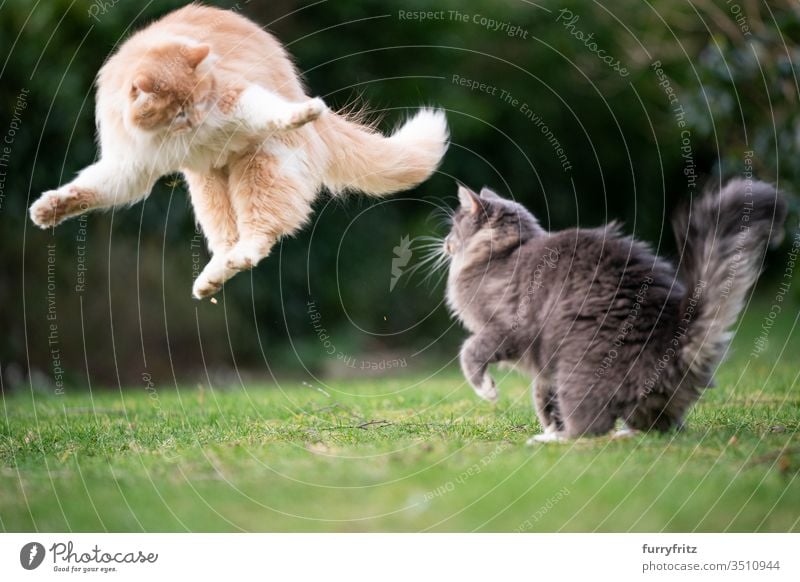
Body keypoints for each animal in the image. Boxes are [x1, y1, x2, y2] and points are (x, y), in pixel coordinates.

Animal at [29, 5, 450, 302]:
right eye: (179, 111)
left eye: (200, 102)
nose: (196, 120)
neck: (171, 135)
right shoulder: (129, 166)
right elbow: (90, 189)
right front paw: (49, 209)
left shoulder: (237, 100)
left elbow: (269, 109)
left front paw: (300, 113)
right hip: (208, 186)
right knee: (227, 242)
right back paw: (210, 280)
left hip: (258, 169)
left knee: (258, 235)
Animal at [444, 180, 788, 444]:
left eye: (454, 226)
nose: (445, 242)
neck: (502, 253)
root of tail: (672, 339)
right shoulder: (543, 364)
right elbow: (543, 397)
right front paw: (550, 422)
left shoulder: (508, 327)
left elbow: (469, 351)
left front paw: (488, 392)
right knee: (660, 425)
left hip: (578, 363)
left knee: (590, 428)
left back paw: (553, 440)